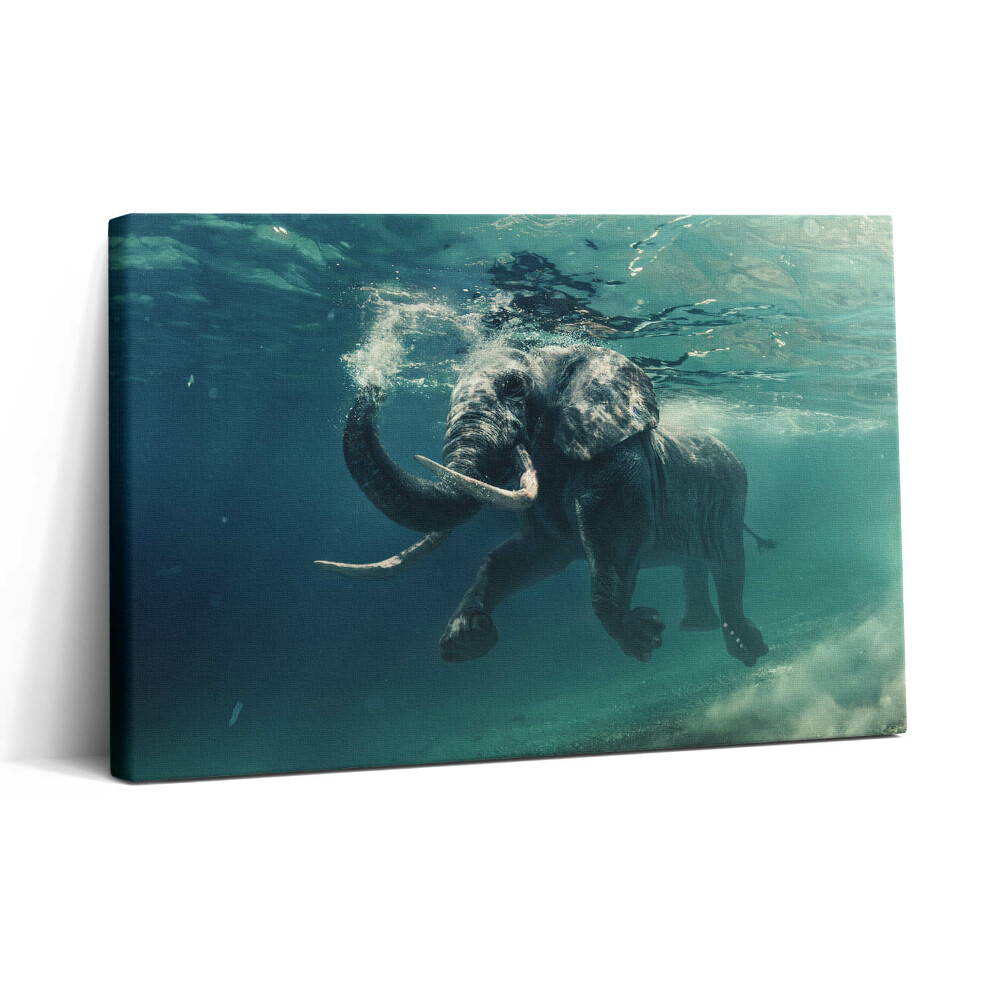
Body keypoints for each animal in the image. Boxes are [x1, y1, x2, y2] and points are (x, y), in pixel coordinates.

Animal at [316, 343, 772, 667]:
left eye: (514, 387)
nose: (375, 385)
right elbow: (522, 557)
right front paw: (466, 638)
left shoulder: (616, 461)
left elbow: (615, 546)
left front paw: (644, 638)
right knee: (696, 563)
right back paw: (698, 628)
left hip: (732, 499)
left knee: (729, 566)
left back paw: (746, 650)